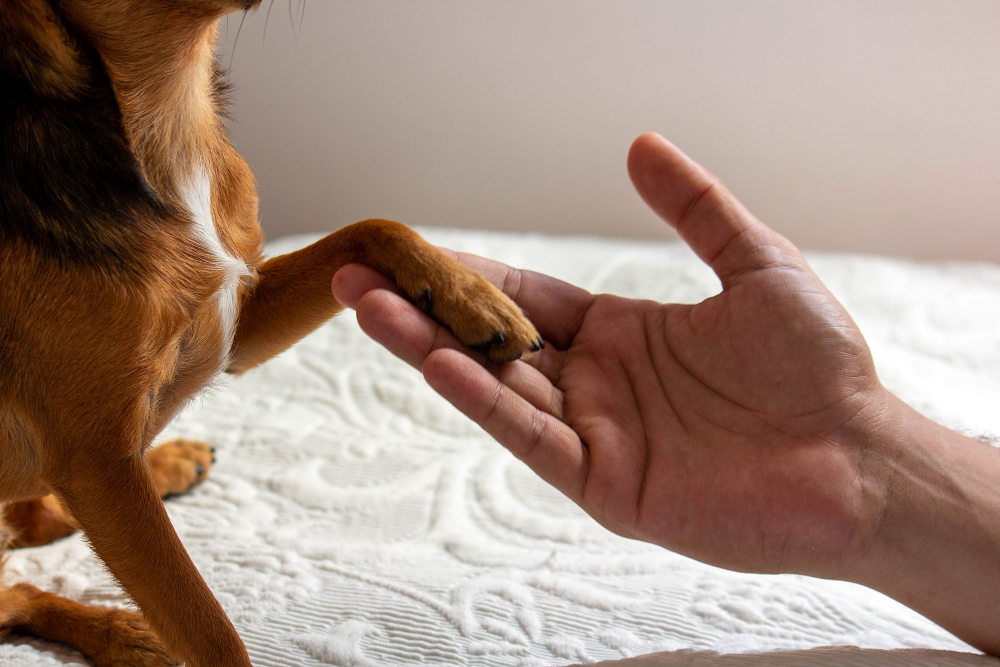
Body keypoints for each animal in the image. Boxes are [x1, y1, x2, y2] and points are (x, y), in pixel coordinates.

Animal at [0, 2, 544, 664]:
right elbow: (207, 626)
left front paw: (473, 296)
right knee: (21, 588)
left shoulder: (234, 328)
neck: (168, 110)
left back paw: (170, 474)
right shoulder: (96, 461)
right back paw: (127, 631)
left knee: (34, 533)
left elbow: (372, 226)